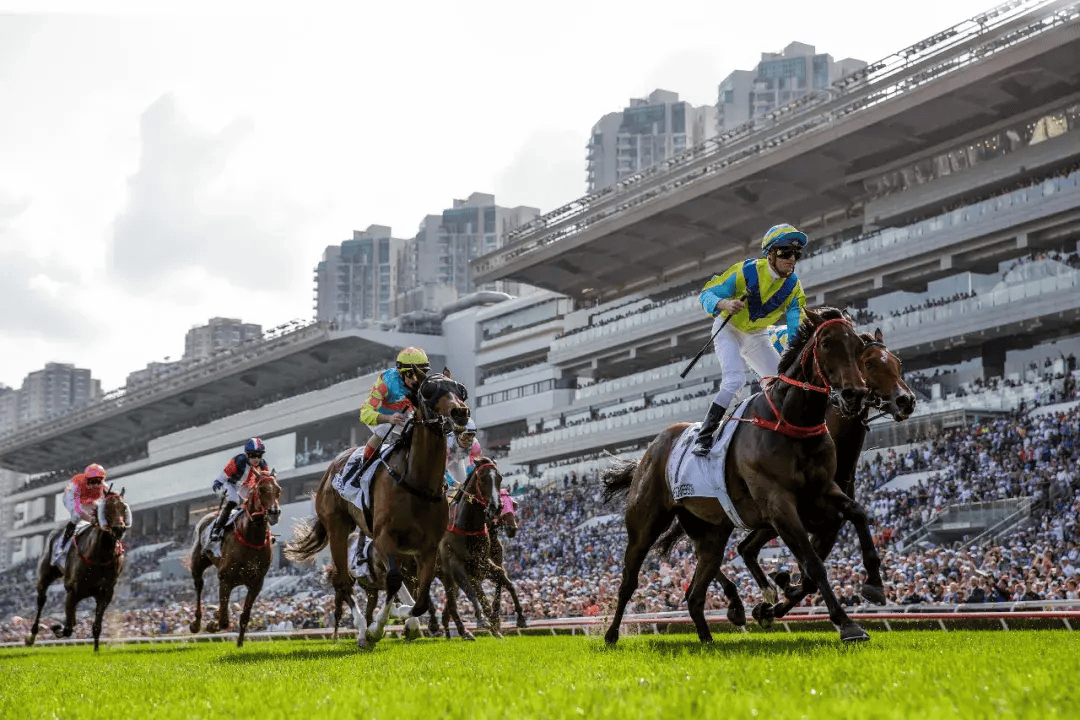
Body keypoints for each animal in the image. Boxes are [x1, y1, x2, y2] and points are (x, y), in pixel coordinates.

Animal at [26, 487, 130, 651]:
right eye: (106, 508)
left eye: (124, 507)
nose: (118, 529)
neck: (99, 555)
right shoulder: (72, 590)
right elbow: (68, 628)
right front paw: (56, 628)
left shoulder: (105, 593)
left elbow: (96, 626)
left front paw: (96, 651)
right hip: (45, 576)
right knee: (41, 601)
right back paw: (31, 636)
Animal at [190, 468, 282, 647]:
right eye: (261, 490)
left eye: (278, 490)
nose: (274, 512)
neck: (251, 538)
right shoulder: (225, 578)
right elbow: (225, 621)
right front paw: (213, 624)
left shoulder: (256, 583)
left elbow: (244, 617)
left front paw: (239, 643)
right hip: (198, 562)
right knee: (199, 586)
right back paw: (196, 623)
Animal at [285, 371, 470, 647]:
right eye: (429, 391)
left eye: (460, 389)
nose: (460, 412)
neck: (417, 482)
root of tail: (331, 468)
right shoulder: (384, 537)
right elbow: (394, 582)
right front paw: (377, 628)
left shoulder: (428, 548)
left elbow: (421, 598)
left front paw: (408, 620)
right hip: (337, 529)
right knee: (344, 583)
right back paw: (362, 630)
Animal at [604, 306, 872, 643]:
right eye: (825, 344)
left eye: (859, 347)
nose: (854, 394)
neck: (791, 422)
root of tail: (648, 452)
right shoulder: (778, 505)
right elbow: (812, 563)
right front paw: (846, 623)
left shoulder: (822, 491)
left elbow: (857, 514)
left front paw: (873, 583)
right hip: (644, 525)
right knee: (629, 579)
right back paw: (611, 634)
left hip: (710, 531)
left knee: (695, 592)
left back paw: (710, 636)